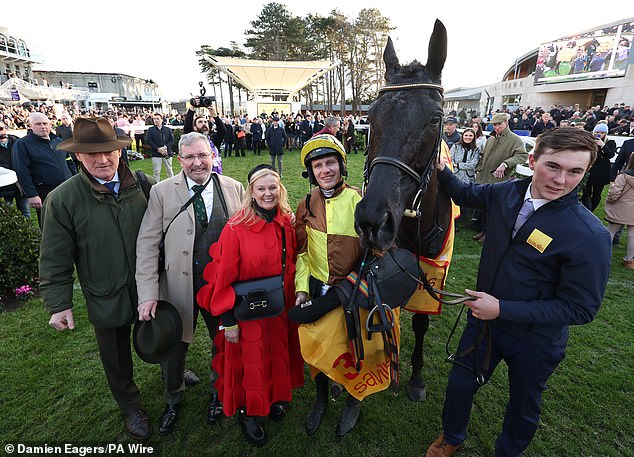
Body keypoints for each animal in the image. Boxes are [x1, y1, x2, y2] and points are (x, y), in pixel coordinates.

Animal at [354, 19, 452, 400]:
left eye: (436, 118)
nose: (372, 220)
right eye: (370, 116)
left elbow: (422, 320)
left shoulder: (432, 270)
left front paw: (417, 377)